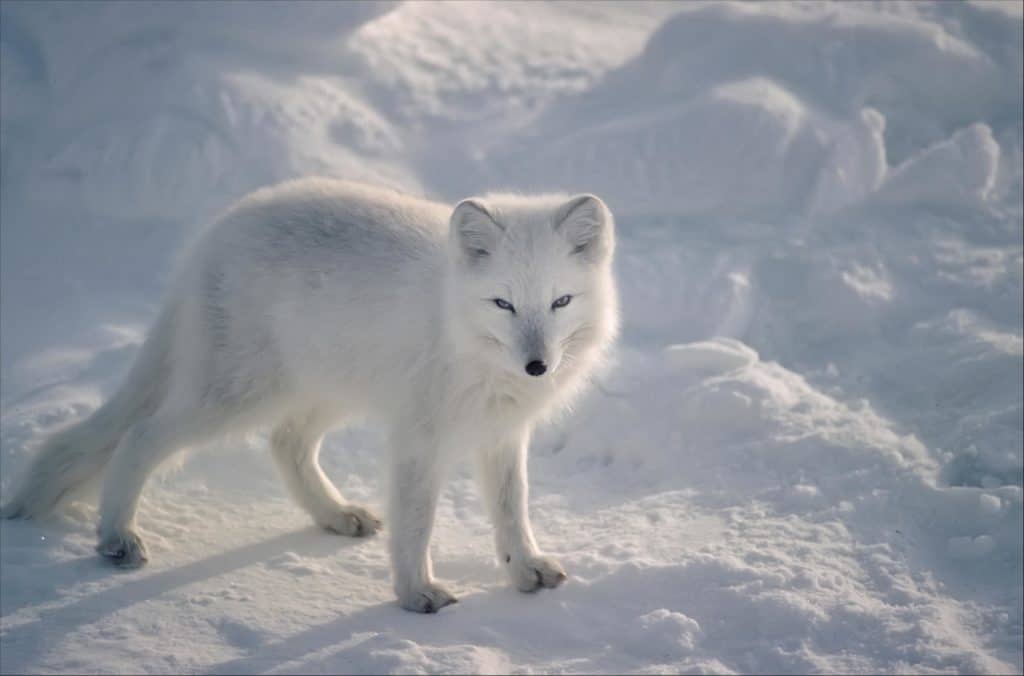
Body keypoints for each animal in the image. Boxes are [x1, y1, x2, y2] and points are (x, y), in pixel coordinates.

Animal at [2, 178, 614, 614]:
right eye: (503, 304)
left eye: (560, 301)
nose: (537, 367)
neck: (460, 332)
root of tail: (212, 236)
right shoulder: (419, 438)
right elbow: (417, 522)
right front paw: (415, 593)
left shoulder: (501, 434)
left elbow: (513, 510)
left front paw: (524, 569)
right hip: (234, 396)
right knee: (140, 435)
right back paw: (116, 536)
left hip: (320, 390)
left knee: (285, 444)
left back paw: (336, 514)